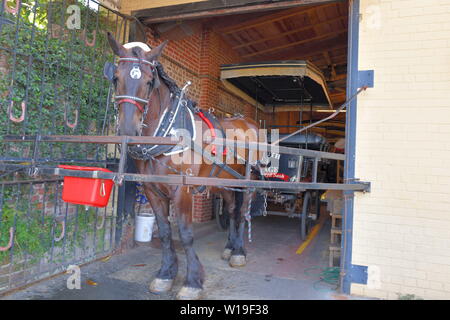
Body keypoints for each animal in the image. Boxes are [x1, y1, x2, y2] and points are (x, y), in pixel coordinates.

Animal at [107, 33, 266, 300]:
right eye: (116, 77)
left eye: (149, 82)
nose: (128, 129)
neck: (167, 132)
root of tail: (249, 122)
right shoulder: (152, 190)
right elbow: (165, 231)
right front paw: (165, 275)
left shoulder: (182, 190)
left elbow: (185, 234)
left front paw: (192, 281)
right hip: (224, 182)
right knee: (232, 209)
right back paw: (229, 246)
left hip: (247, 182)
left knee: (242, 212)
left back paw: (238, 252)